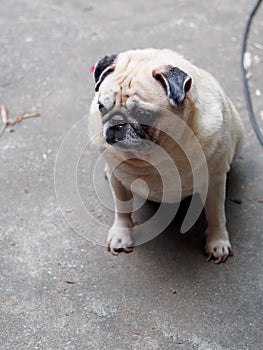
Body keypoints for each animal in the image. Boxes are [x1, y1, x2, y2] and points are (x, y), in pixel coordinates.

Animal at [89, 48, 245, 262]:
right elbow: (122, 209)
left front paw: (217, 242)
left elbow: (216, 214)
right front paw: (121, 234)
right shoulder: (118, 179)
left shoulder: (214, 182)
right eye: (101, 107)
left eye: (144, 115)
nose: (116, 123)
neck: (155, 157)